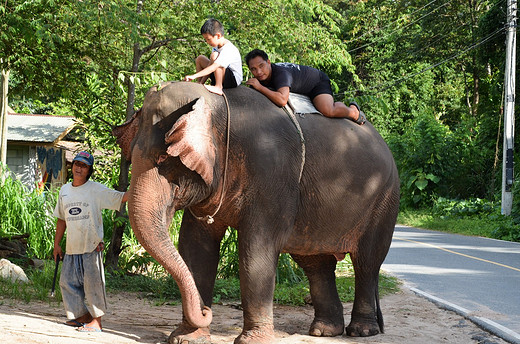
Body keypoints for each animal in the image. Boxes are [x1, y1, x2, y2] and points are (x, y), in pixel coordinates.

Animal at [114, 81, 398, 344]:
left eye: (166, 158)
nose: (206, 311)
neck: (219, 106)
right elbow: (196, 246)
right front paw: (187, 338)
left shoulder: (272, 171)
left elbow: (256, 248)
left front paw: (252, 340)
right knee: (315, 263)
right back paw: (324, 331)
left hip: (384, 200)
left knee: (366, 262)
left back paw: (362, 331)